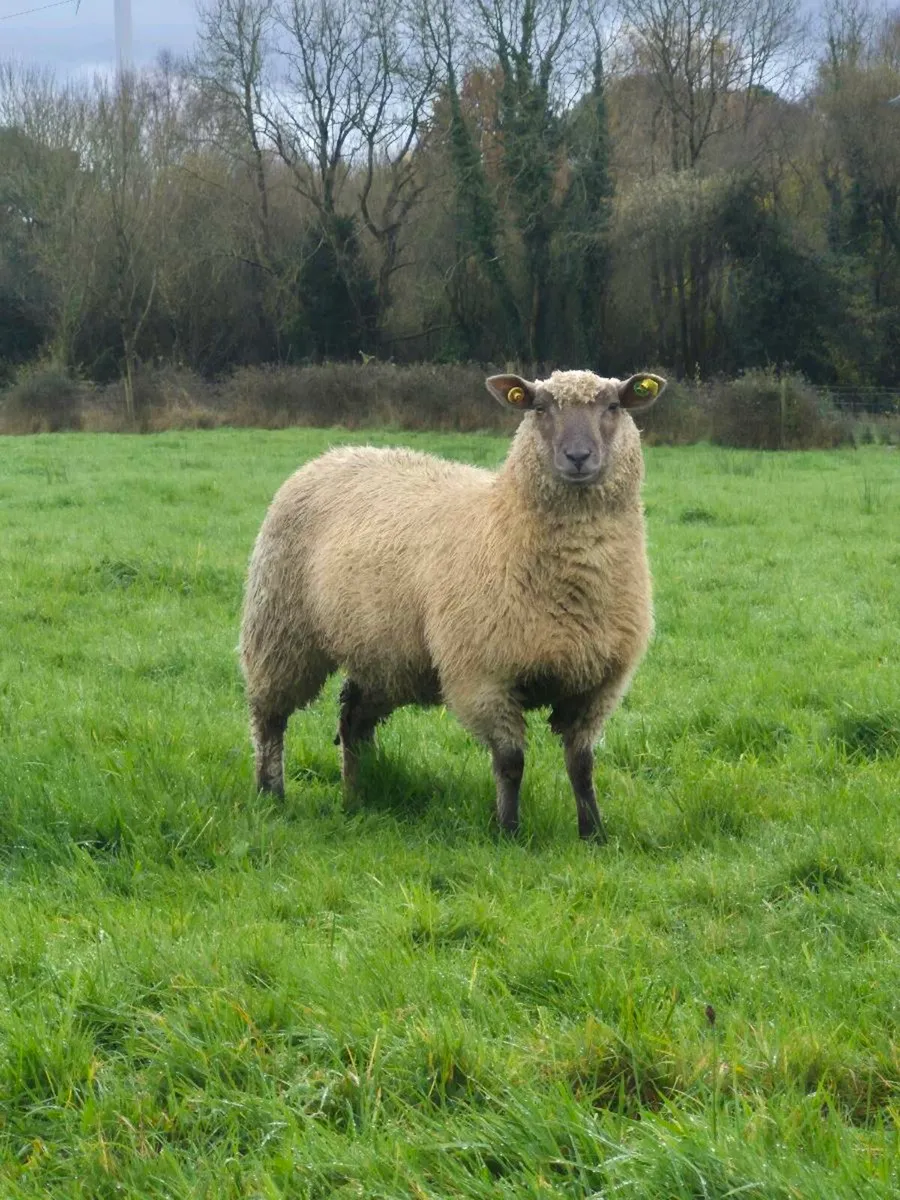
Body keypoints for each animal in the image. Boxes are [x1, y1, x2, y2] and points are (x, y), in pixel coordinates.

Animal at [240, 368, 666, 840]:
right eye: (538, 407)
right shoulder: (483, 676)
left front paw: (594, 835)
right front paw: (509, 833)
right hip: (280, 629)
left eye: (614, 406)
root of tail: (334, 454)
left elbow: (582, 765)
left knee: (353, 717)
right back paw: (271, 793)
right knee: (269, 717)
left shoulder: (599, 684)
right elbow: (510, 762)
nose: (577, 456)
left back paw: (357, 796)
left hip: (388, 656)